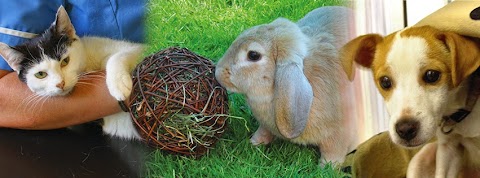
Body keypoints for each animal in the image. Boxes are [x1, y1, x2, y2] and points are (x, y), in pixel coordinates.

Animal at [0, 5, 142, 140]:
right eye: (40, 74)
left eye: (65, 61)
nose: (60, 83)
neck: (87, 64)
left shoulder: (135, 48)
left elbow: (117, 56)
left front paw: (119, 84)